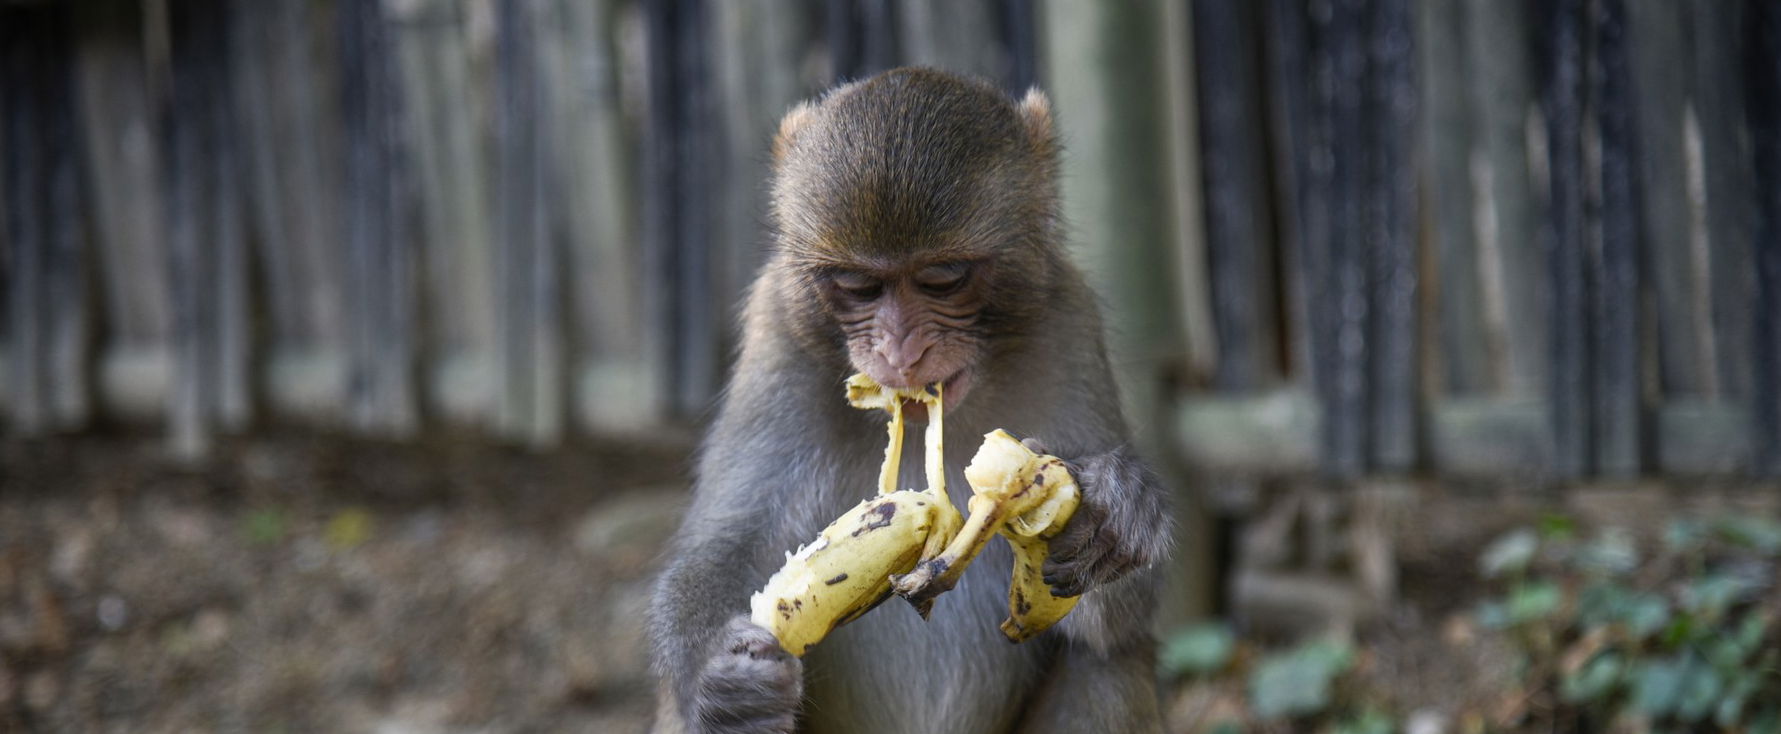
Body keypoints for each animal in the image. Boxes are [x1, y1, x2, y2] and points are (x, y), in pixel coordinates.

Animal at [648, 65, 1175, 730]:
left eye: (944, 278)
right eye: (856, 284)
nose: (902, 353)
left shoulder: (1068, 320)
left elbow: (1117, 627)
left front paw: (1113, 512)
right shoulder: (778, 336)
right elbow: (723, 543)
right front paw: (717, 681)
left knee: (1110, 665)